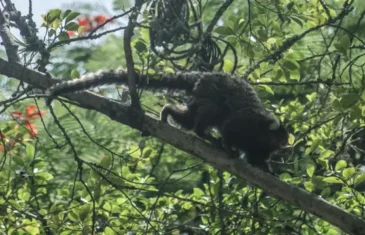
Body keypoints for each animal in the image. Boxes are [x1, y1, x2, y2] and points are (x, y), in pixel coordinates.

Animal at [47, 70, 288, 171]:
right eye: (281, 140)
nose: (285, 147)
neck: (261, 134)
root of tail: (204, 76)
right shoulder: (246, 123)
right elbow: (229, 129)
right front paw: (229, 147)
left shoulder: (260, 147)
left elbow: (257, 158)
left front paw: (267, 169)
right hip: (210, 91)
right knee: (213, 111)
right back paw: (204, 134)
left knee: (190, 117)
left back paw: (168, 112)